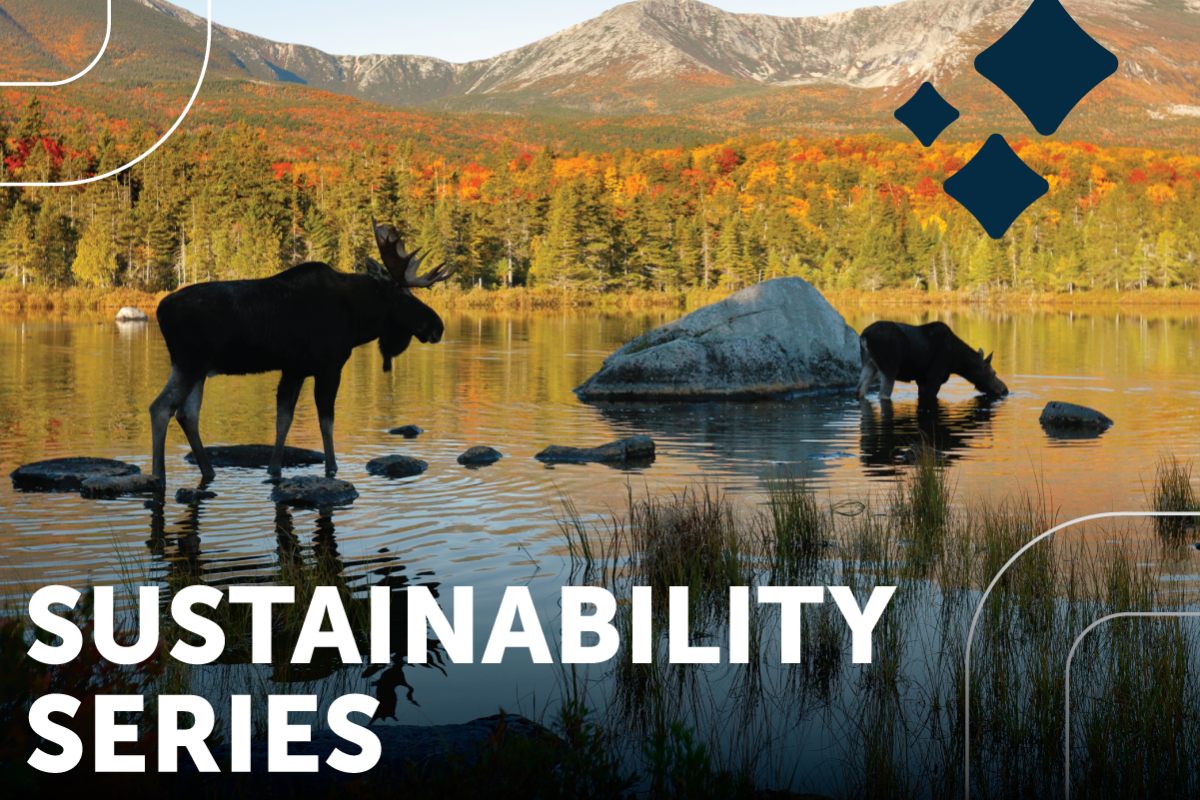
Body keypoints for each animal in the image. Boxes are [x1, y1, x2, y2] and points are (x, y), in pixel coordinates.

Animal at [146, 215, 453, 484]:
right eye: (405, 296)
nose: (437, 326)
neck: (357, 321)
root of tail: (160, 310)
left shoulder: (294, 368)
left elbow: (284, 420)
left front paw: (274, 469)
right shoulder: (329, 365)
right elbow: (326, 421)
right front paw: (332, 468)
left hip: (200, 369)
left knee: (188, 414)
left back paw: (208, 471)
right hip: (190, 362)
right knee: (161, 407)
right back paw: (159, 475)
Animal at [859, 321, 1008, 402]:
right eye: (993, 373)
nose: (1005, 389)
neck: (956, 363)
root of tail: (865, 336)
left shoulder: (921, 380)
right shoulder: (934, 378)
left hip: (868, 364)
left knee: (859, 391)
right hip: (889, 369)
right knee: (883, 395)